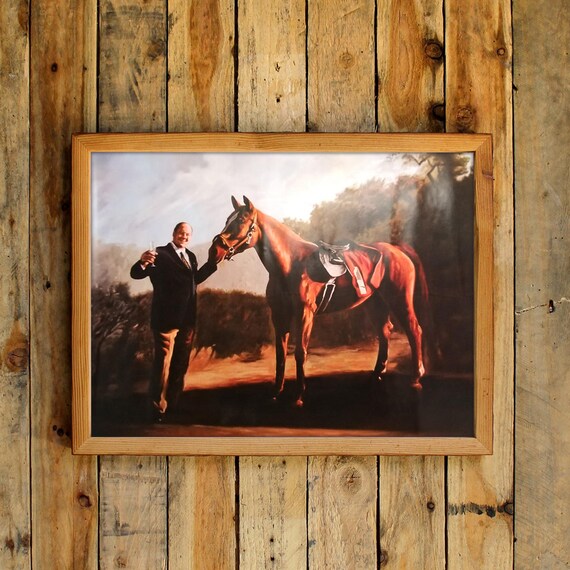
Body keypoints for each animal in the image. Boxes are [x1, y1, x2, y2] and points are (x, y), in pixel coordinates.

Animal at [208, 195, 430, 407]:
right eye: (227, 220)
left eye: (241, 220)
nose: (215, 251)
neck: (292, 263)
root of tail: (397, 250)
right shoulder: (279, 315)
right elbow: (281, 354)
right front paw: (276, 393)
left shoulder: (305, 313)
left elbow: (300, 353)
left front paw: (298, 396)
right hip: (376, 304)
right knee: (385, 332)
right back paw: (376, 375)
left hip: (399, 300)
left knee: (414, 330)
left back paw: (415, 378)